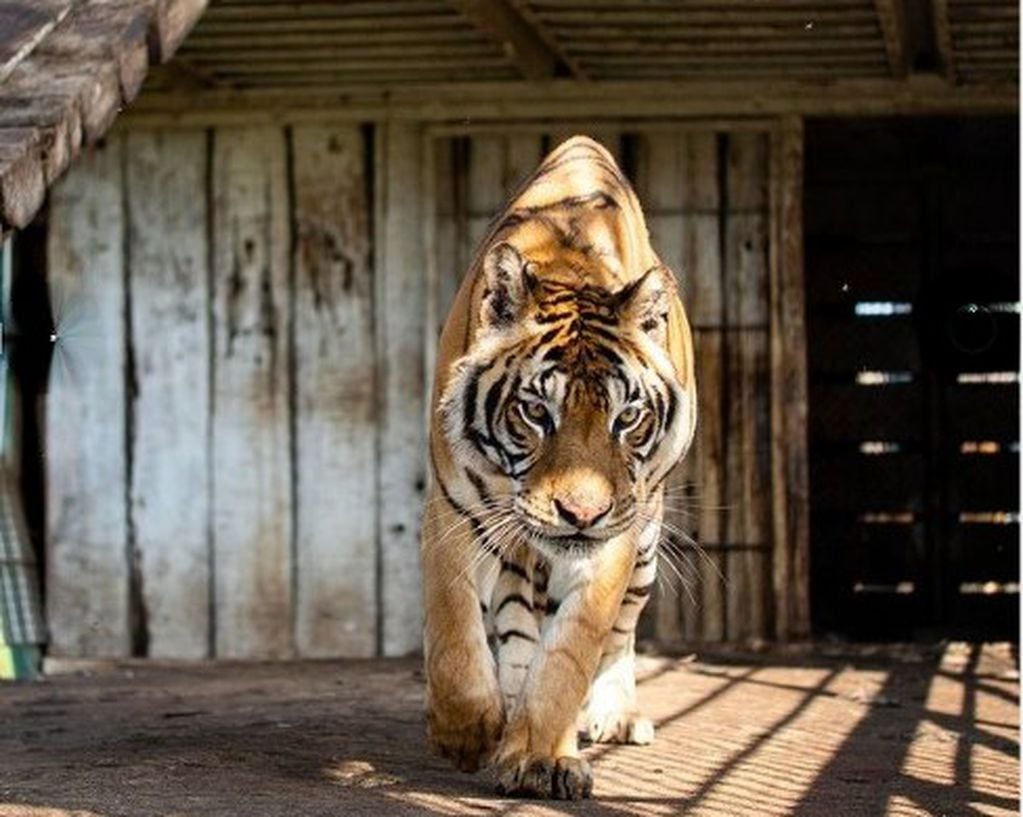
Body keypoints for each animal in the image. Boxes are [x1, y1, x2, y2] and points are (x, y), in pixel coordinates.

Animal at [417, 133, 695, 797]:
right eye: (536, 411)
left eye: (627, 417)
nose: (580, 513)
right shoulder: (453, 507)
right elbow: (454, 627)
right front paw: (469, 732)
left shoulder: (615, 537)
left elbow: (571, 652)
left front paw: (541, 756)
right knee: (517, 622)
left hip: (647, 543)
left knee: (618, 637)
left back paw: (613, 715)